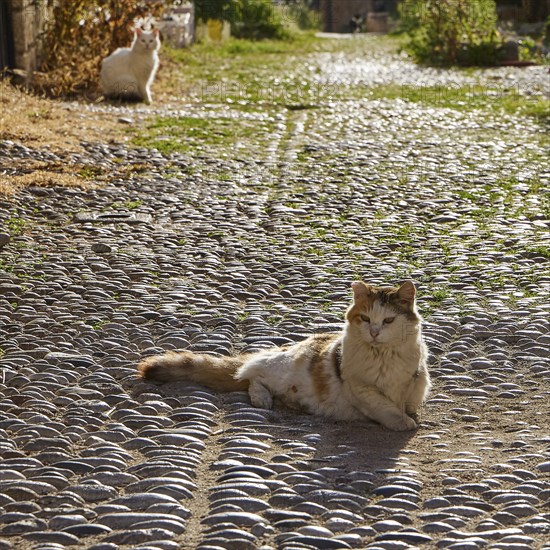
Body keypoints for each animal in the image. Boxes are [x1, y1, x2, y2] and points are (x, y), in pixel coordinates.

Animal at [138, 282, 432, 434]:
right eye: (366, 319)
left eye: (388, 320)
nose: (373, 333)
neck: (383, 355)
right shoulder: (360, 386)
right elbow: (384, 406)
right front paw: (402, 423)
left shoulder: (414, 380)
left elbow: (403, 403)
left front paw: (408, 417)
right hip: (278, 370)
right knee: (250, 374)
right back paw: (263, 399)